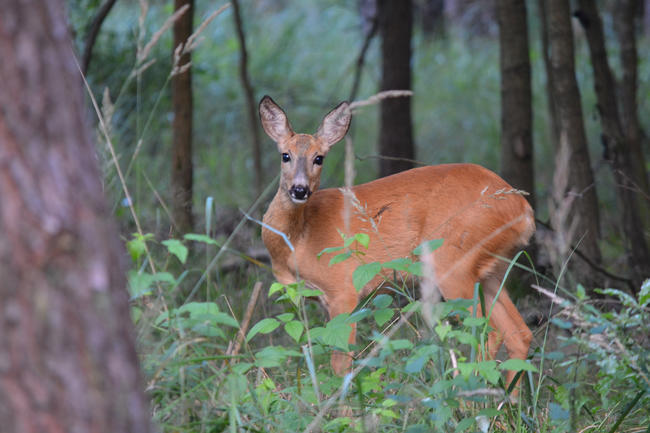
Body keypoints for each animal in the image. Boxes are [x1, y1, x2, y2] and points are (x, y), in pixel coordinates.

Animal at [256, 96, 532, 390]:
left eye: (319, 158)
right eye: (285, 155)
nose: (300, 189)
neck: (299, 240)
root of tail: (524, 209)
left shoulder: (343, 289)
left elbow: (341, 363)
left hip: (453, 263)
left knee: (482, 333)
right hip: (491, 270)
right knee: (517, 333)